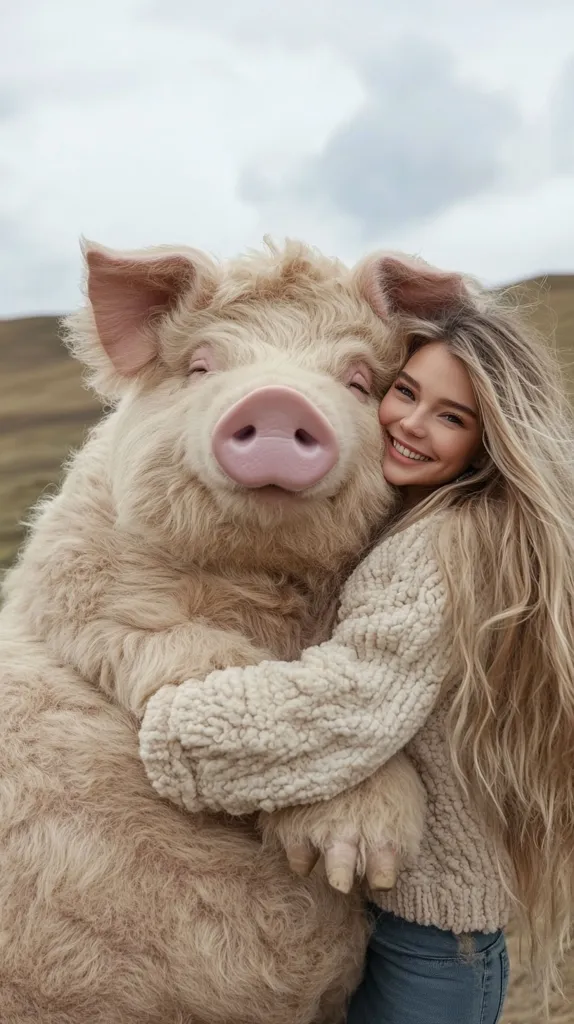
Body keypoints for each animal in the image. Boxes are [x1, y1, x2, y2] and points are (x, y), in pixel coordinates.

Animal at [0, 238, 430, 1024]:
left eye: (359, 379)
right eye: (201, 367)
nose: (277, 399)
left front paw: (361, 864)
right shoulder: (95, 590)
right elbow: (208, 664)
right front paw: (360, 854)